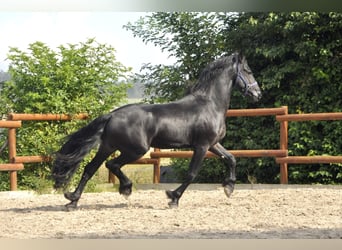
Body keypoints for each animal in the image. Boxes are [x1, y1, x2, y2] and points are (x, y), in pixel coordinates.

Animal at [52, 52, 262, 209]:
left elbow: (231, 159)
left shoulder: (213, 144)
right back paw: (125, 189)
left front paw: (229, 187)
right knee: (111, 165)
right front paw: (173, 197)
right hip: (135, 150)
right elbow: (191, 174)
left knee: (90, 168)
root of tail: (112, 115)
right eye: (248, 71)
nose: (257, 94)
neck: (210, 104)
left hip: (108, 146)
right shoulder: (202, 146)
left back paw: (73, 200)